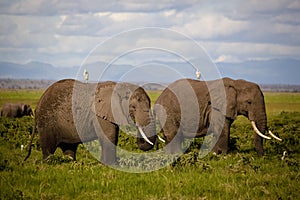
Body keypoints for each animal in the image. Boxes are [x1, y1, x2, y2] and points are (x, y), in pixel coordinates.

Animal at [25, 79, 157, 165]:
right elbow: (110, 136)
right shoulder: (99, 115)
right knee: (49, 147)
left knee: (69, 148)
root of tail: (38, 104)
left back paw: (71, 163)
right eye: (133, 107)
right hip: (46, 122)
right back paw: (48, 163)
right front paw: (111, 165)